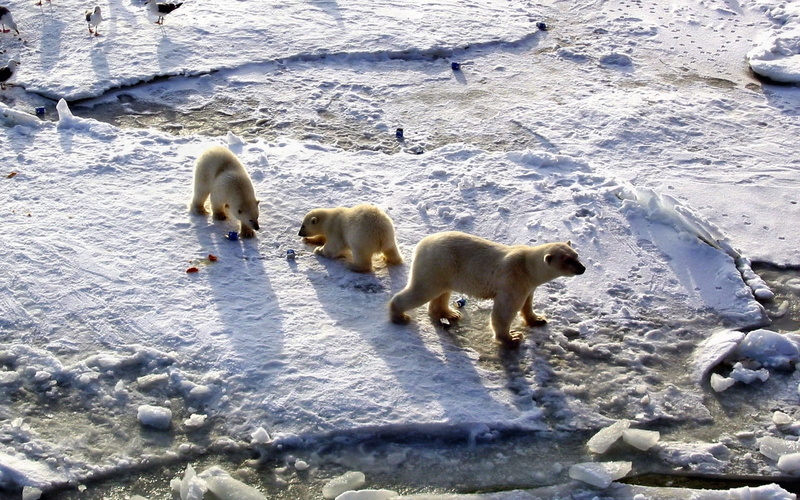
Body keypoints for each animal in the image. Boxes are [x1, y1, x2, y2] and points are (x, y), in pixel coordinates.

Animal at [389, 231, 586, 345]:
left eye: (576, 255)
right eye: (567, 260)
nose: (582, 268)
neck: (527, 267)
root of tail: (421, 244)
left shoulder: (528, 285)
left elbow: (528, 303)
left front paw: (538, 319)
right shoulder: (513, 281)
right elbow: (504, 310)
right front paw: (512, 337)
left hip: (445, 270)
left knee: (442, 292)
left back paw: (450, 313)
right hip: (438, 264)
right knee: (422, 290)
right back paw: (399, 316)